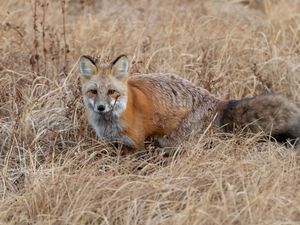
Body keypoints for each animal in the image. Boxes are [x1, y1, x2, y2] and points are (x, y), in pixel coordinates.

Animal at [79, 54, 300, 149]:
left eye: (111, 92)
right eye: (93, 92)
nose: (101, 107)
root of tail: (217, 101)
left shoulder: (136, 144)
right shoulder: (113, 144)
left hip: (176, 143)